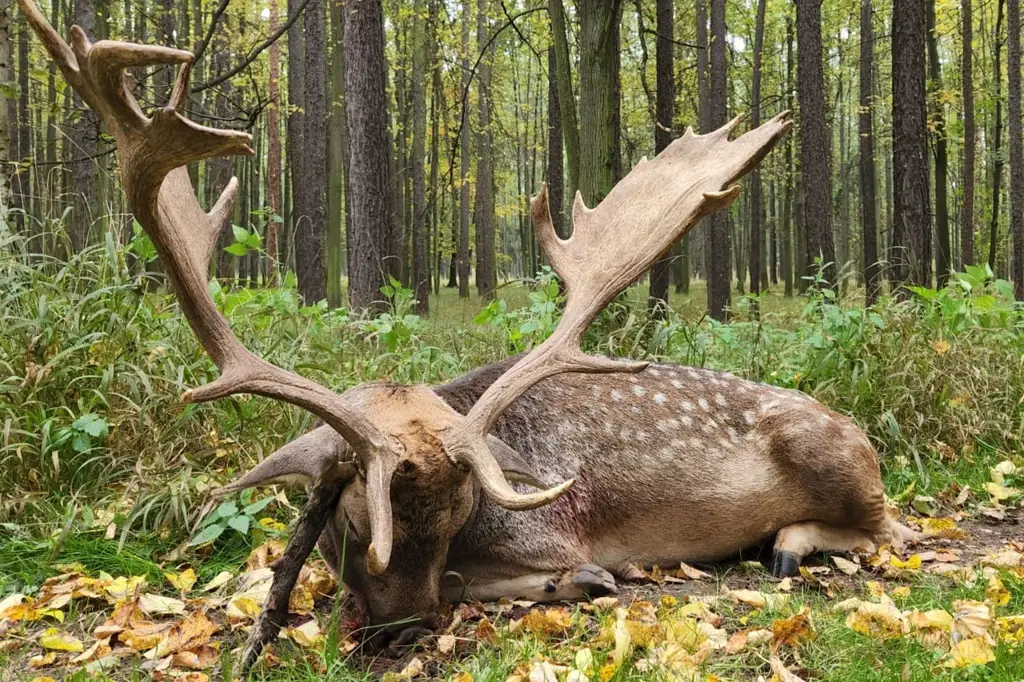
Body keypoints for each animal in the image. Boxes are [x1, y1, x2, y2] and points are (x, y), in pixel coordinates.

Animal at [18, 0, 913, 667]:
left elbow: (510, 576)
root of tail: (861, 433)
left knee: (892, 528)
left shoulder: (548, 531)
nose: (401, 630)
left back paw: (789, 542)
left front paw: (581, 581)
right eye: (353, 522)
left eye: (458, 519)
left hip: (831, 453)